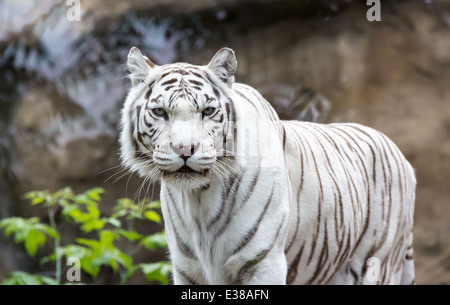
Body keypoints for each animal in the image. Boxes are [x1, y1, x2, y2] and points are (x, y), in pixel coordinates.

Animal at [118, 46, 414, 284]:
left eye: (208, 111)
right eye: (160, 112)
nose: (184, 149)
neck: (200, 200)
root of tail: (402, 157)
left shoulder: (261, 261)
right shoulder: (187, 268)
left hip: (374, 263)